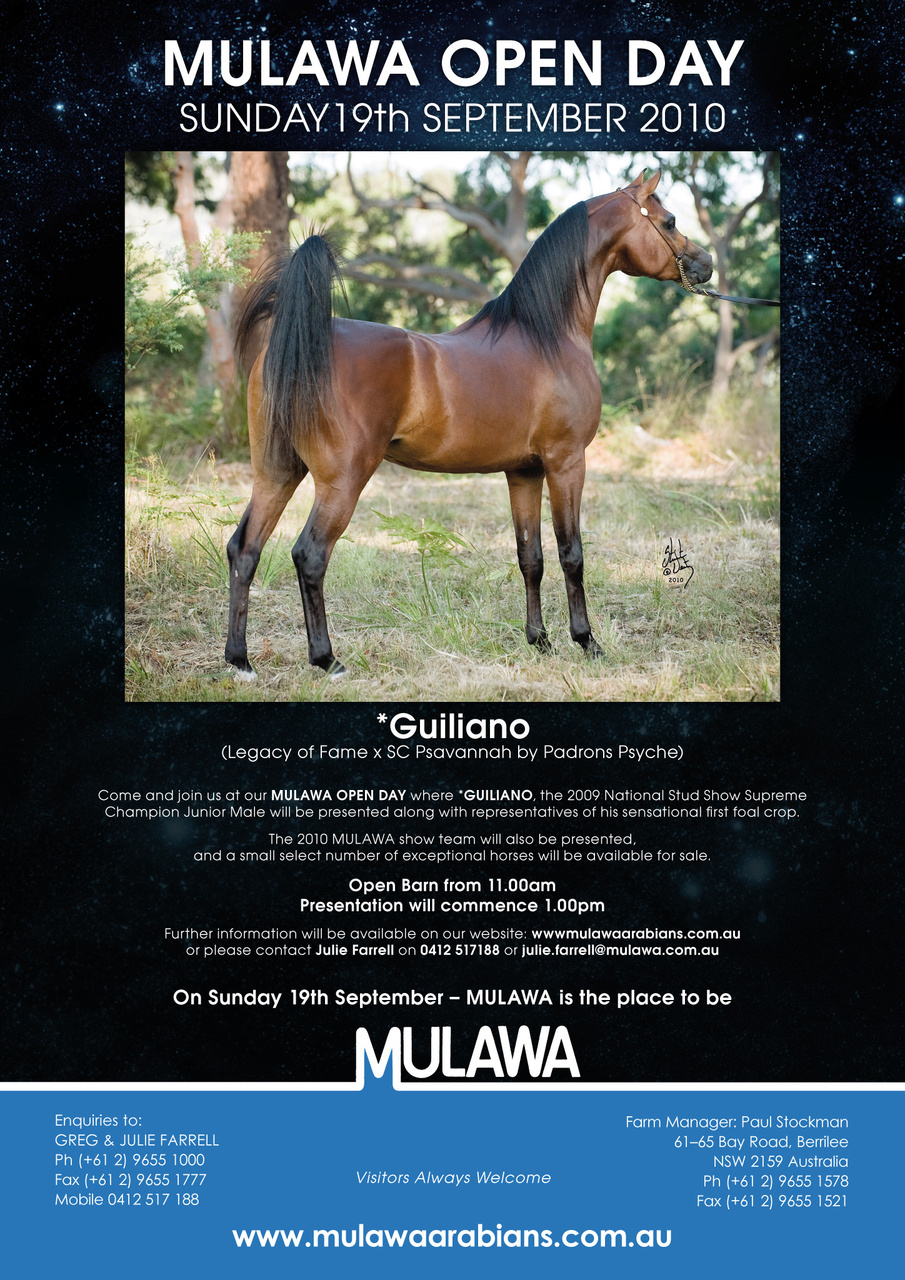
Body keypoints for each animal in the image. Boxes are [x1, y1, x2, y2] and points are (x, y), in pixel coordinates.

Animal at [226, 170, 712, 679]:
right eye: (669, 220)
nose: (706, 264)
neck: (546, 336)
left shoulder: (524, 471)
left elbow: (531, 557)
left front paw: (539, 641)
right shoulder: (566, 463)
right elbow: (571, 555)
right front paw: (586, 641)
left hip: (276, 473)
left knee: (245, 549)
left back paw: (239, 660)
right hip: (341, 482)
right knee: (310, 556)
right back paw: (326, 659)